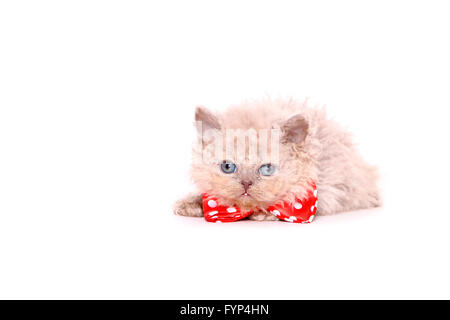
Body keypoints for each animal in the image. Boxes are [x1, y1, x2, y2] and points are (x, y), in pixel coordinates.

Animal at [174, 99, 382, 221]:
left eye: (267, 169)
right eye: (227, 167)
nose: (246, 183)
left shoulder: (328, 189)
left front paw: (262, 213)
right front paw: (191, 204)